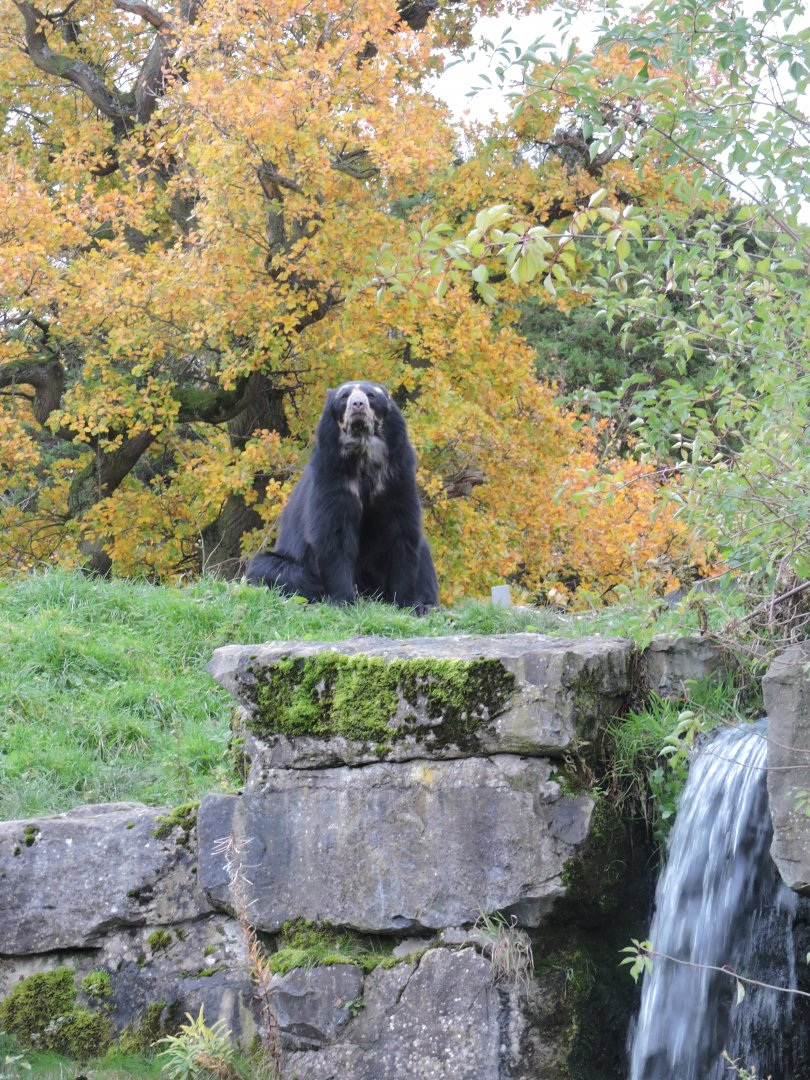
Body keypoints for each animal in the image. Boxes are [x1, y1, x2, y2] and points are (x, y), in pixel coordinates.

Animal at [246, 380, 439, 613]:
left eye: (371, 395)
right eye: (344, 396)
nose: (357, 405)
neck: (363, 451)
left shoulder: (398, 476)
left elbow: (402, 531)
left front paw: (411, 604)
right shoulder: (332, 474)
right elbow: (334, 532)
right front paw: (343, 600)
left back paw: (429, 603)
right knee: (268, 569)